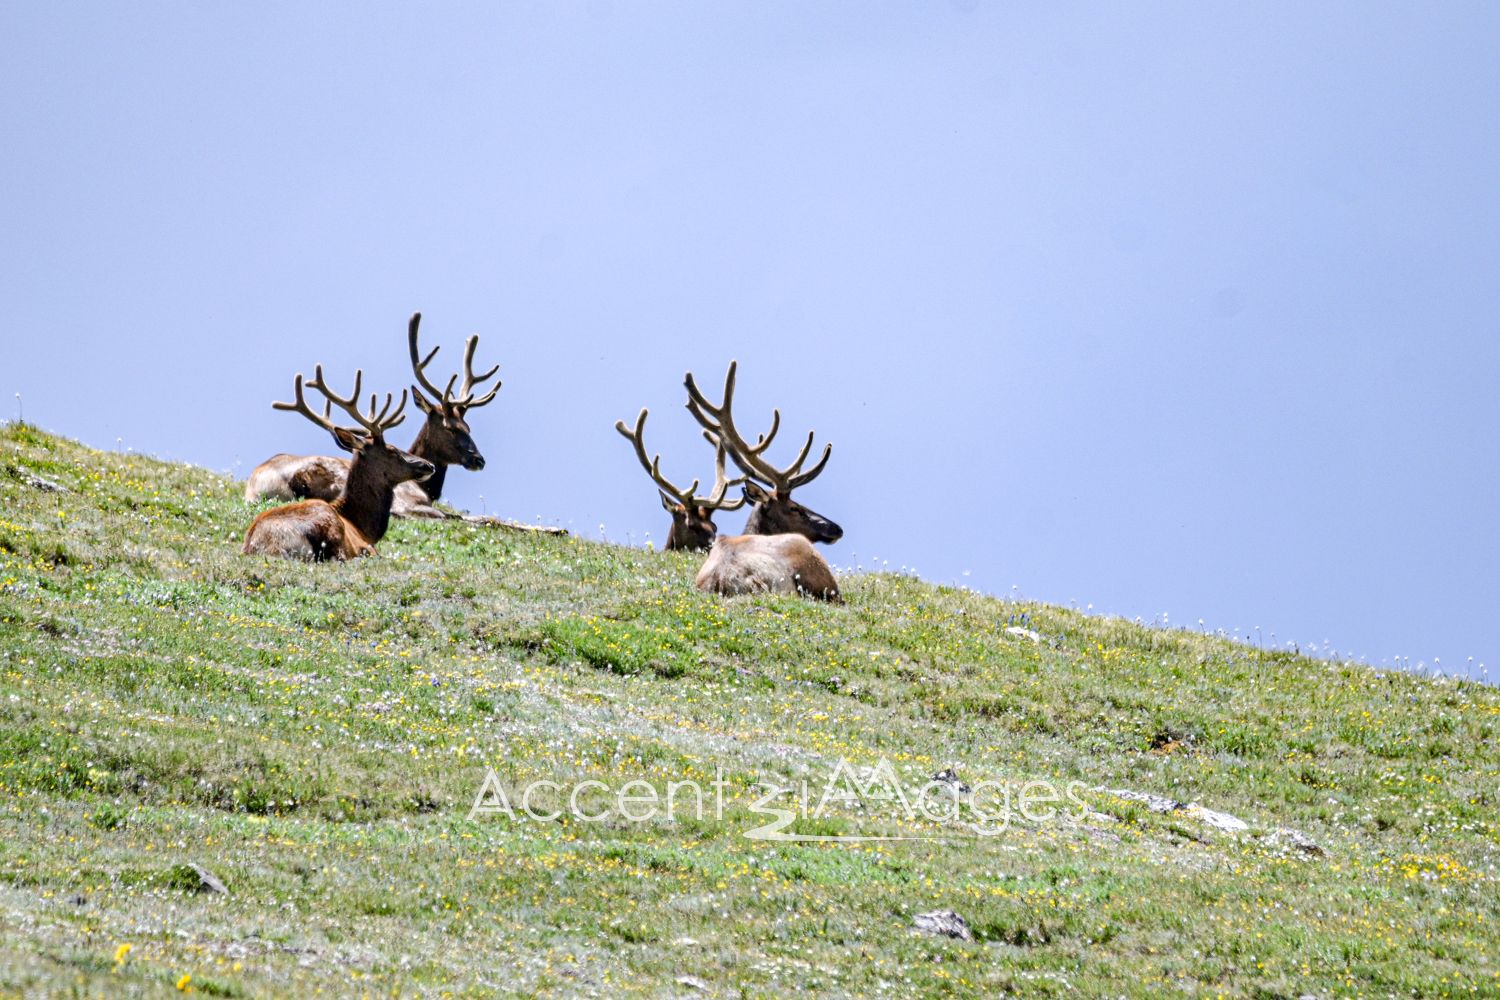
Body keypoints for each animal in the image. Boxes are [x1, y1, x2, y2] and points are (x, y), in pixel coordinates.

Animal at [242, 367, 434, 561]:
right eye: (392, 450)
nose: (428, 465)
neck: (362, 527)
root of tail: (259, 547)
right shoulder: (366, 545)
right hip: (329, 527)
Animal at [243, 313, 500, 519]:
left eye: (468, 427)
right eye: (449, 428)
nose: (479, 460)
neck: (428, 490)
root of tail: (255, 488)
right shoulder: (410, 500)